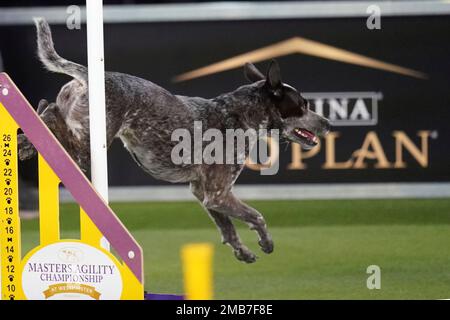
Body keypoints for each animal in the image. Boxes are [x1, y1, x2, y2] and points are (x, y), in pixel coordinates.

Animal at [20, 18, 330, 262]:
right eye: (302, 105)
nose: (327, 123)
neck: (239, 113)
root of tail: (88, 76)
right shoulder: (219, 193)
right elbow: (256, 216)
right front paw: (266, 241)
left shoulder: (206, 194)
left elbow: (227, 228)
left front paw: (242, 251)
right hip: (86, 151)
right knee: (51, 121)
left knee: (47, 114)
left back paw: (25, 140)